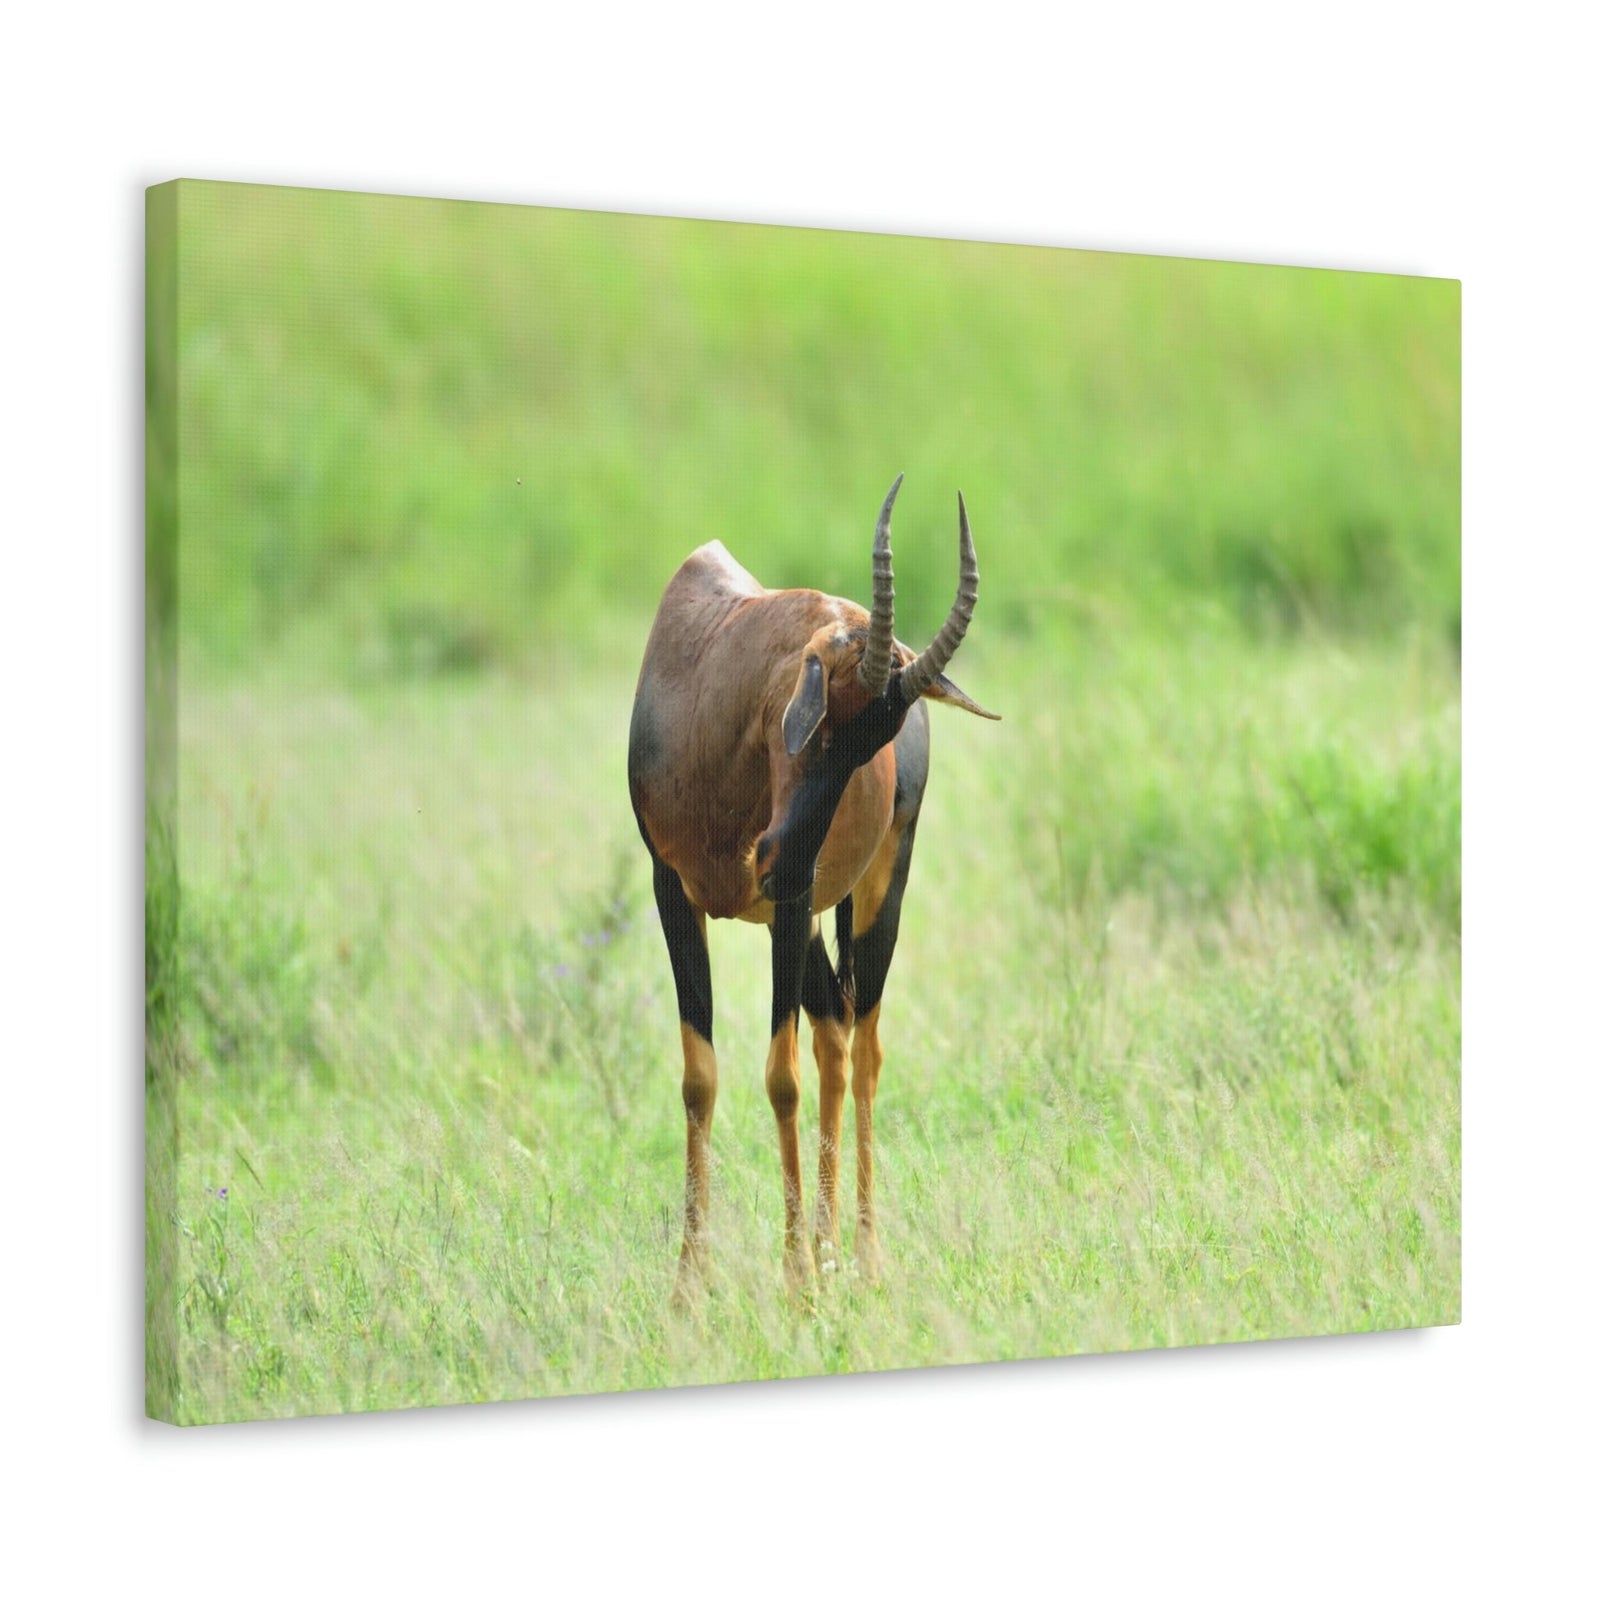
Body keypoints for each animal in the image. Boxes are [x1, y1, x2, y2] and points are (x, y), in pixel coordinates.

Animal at [628, 476, 997, 1294]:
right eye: (823, 715)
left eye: (876, 744)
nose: (775, 858)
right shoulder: (674, 891)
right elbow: (700, 1076)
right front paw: (689, 1290)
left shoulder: (792, 907)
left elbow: (780, 1078)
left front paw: (795, 1283)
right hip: (796, 921)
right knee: (833, 1029)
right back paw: (830, 1251)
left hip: (872, 892)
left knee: (863, 1046)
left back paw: (860, 1257)